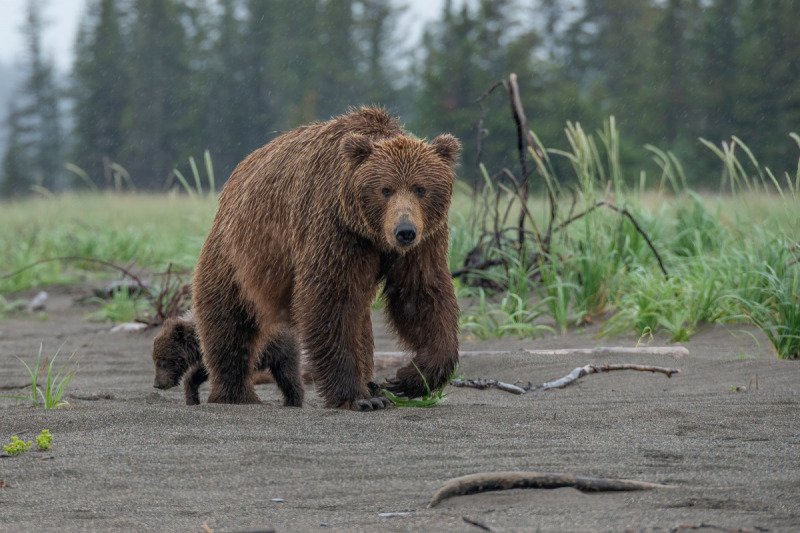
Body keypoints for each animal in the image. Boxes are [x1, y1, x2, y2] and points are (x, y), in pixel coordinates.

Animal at [190, 106, 460, 410]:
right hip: (240, 252)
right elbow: (331, 299)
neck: (371, 233)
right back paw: (236, 392)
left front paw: (409, 378)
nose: (404, 231)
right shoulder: (335, 227)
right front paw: (356, 397)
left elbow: (420, 296)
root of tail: (237, 173)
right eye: (385, 189)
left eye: (420, 188)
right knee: (229, 318)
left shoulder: (425, 241)